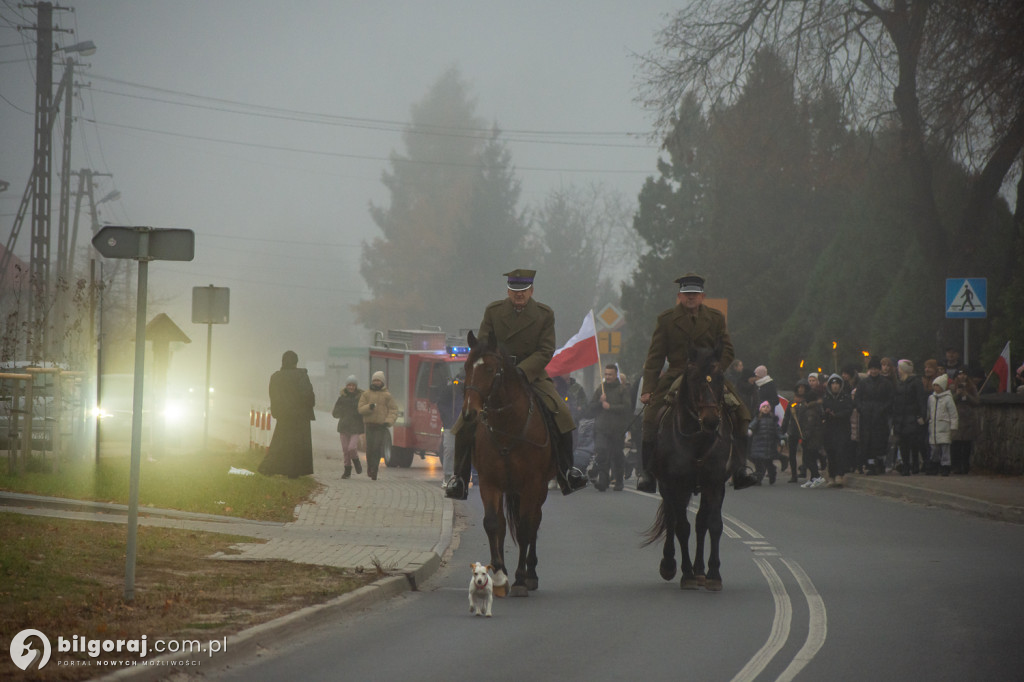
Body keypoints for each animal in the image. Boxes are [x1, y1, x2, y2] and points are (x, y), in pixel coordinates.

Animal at [462, 329, 557, 593]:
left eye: (490, 369)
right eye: (466, 367)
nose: (469, 413)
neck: (507, 427)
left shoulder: (532, 484)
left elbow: (525, 528)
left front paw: (521, 578)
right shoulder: (489, 482)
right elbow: (493, 524)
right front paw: (498, 574)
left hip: (539, 489)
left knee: (534, 522)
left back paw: (531, 574)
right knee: (505, 524)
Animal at [638, 346, 737, 589]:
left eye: (720, 378)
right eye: (693, 379)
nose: (711, 420)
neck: (698, 440)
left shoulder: (715, 484)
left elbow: (713, 524)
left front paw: (713, 573)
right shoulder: (676, 485)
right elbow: (682, 527)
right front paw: (686, 573)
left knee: (700, 522)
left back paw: (700, 569)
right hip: (668, 488)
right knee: (672, 520)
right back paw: (671, 564)